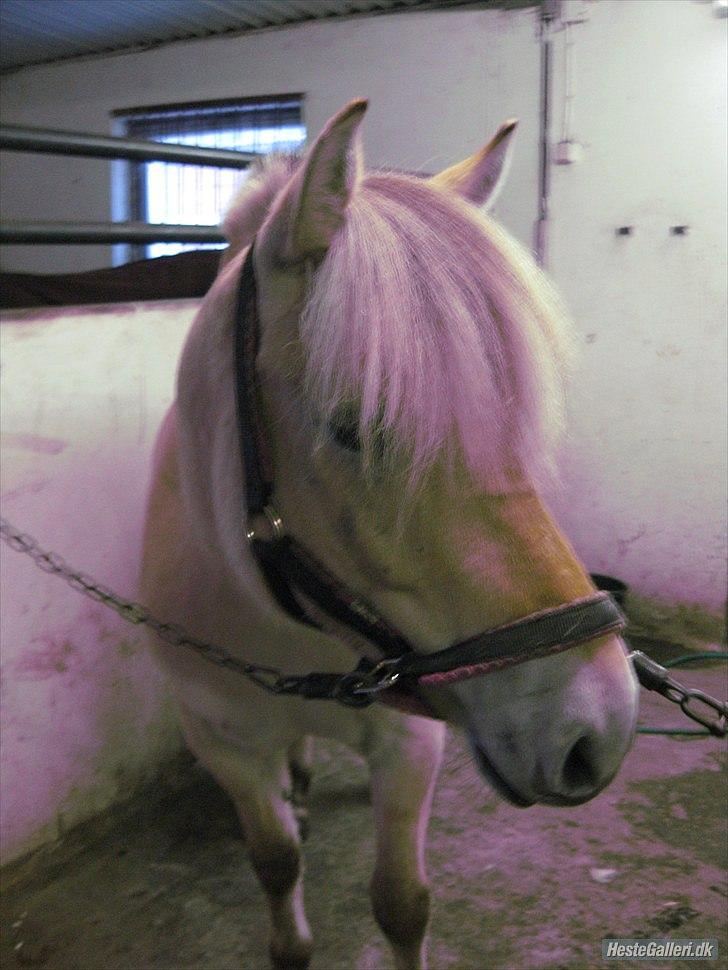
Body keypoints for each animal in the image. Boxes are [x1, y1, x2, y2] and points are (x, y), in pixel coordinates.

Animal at [139, 99, 638, 970]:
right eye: (353, 428)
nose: (597, 728)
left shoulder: (409, 744)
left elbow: (402, 904)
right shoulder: (222, 740)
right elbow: (274, 861)